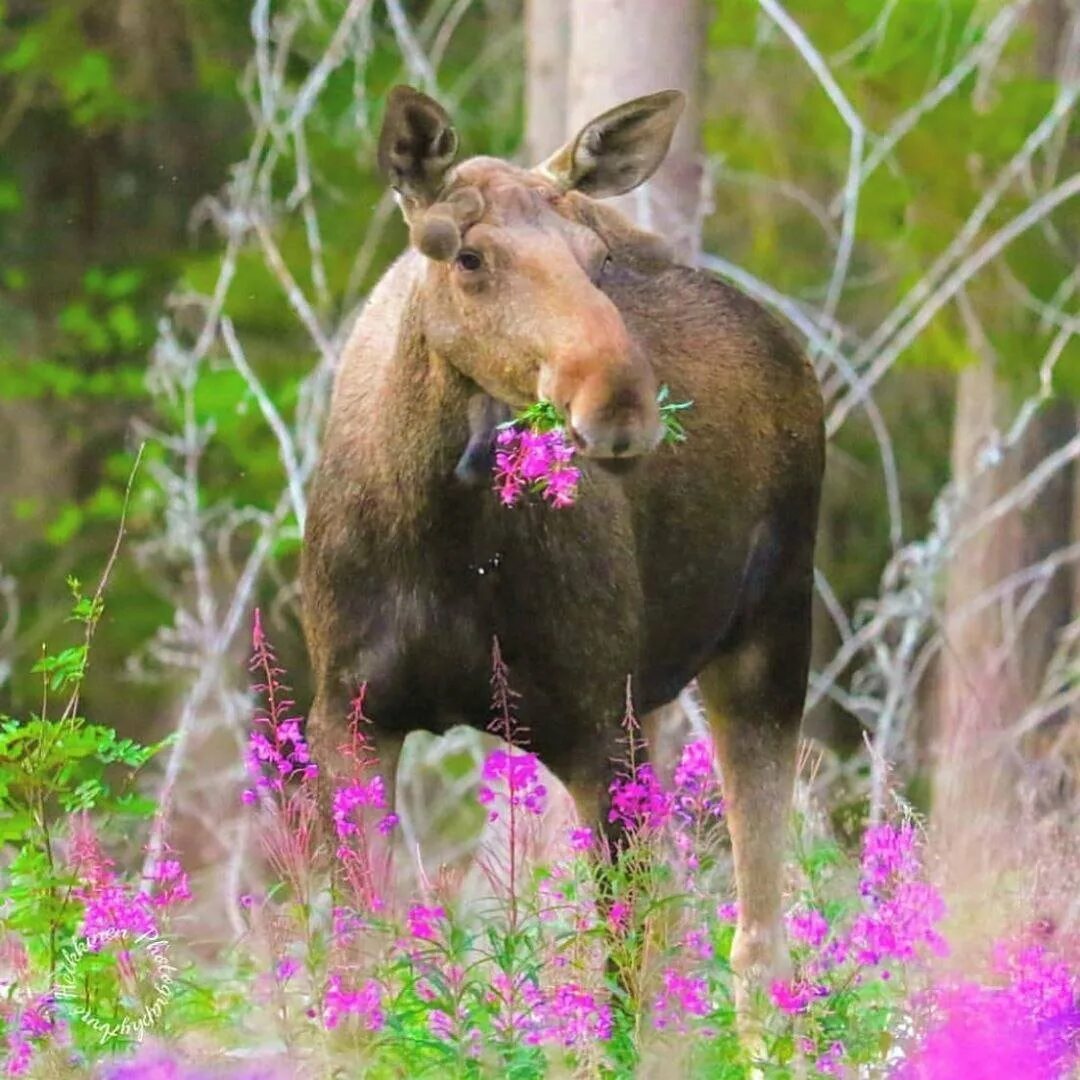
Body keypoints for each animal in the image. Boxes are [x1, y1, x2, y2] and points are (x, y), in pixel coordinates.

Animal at [304, 86, 825, 1019]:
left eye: (597, 256)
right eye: (467, 255)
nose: (620, 400)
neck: (443, 542)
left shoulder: (596, 729)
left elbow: (624, 979)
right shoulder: (350, 716)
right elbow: (358, 969)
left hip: (767, 640)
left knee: (757, 937)